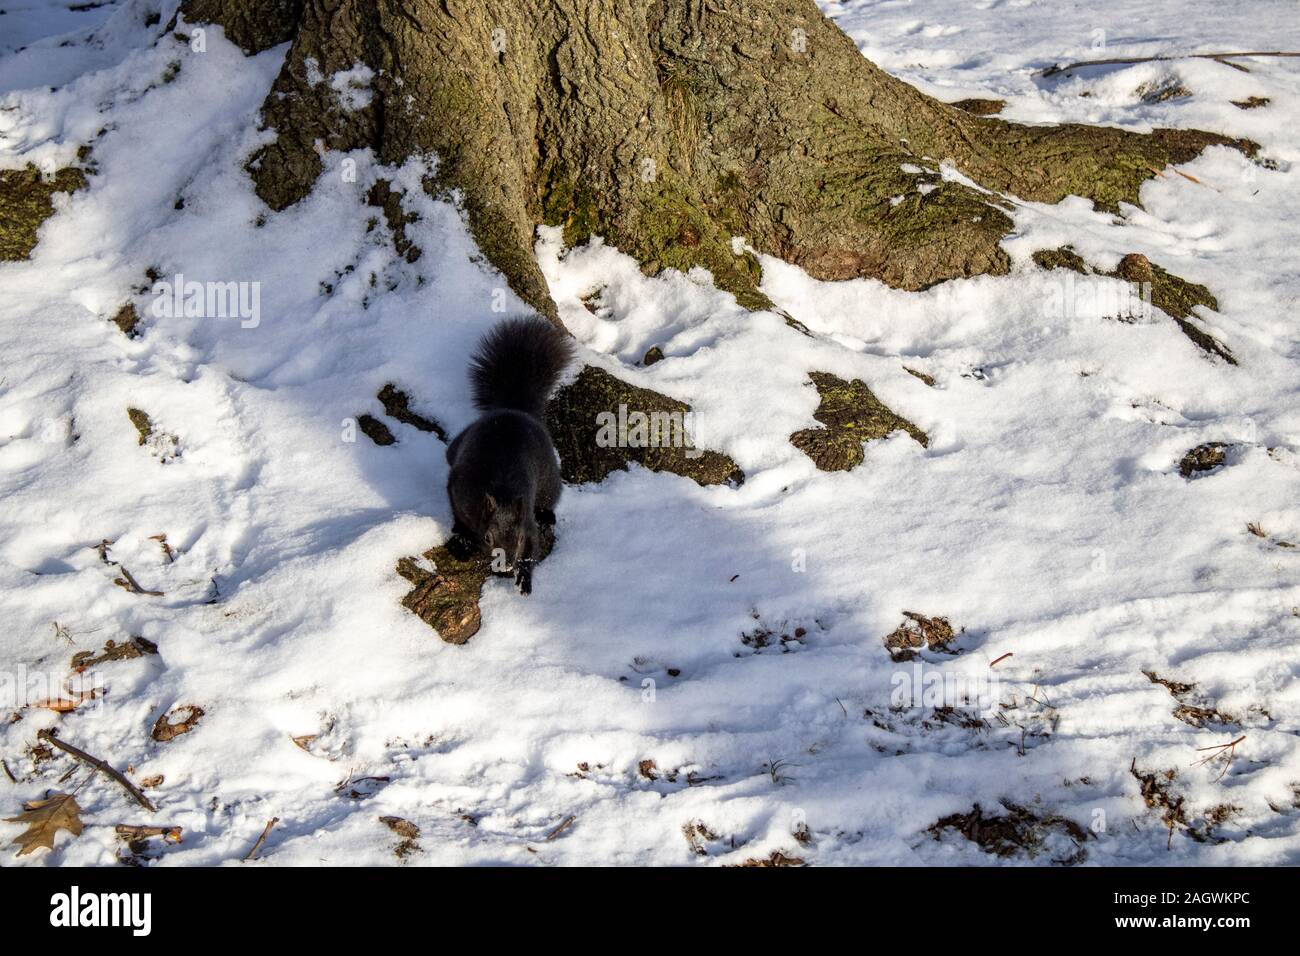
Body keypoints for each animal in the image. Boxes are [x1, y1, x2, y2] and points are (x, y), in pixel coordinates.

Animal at [444, 317, 572, 595]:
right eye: (488, 537)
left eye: (520, 538)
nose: (504, 567)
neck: (502, 493)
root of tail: (514, 409)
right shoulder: (460, 490)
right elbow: (458, 514)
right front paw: (461, 539)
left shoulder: (526, 519)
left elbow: (532, 547)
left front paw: (524, 578)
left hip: (548, 481)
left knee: (549, 500)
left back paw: (548, 516)